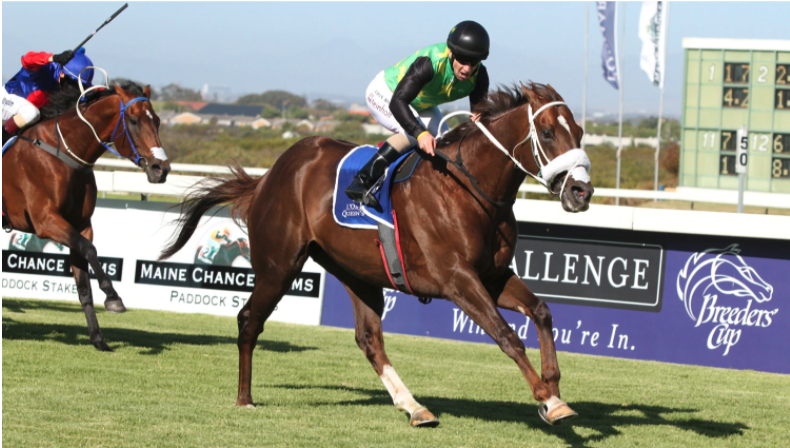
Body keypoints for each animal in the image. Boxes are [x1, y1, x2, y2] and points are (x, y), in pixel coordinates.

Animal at [1, 82, 170, 352]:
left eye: (157, 121)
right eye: (134, 120)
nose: (161, 169)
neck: (64, 152)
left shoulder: (80, 225)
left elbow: (84, 284)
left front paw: (98, 338)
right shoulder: (46, 220)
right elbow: (90, 250)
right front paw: (113, 298)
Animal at [161, 83, 592, 428]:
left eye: (580, 132)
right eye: (548, 132)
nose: (581, 191)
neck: (469, 189)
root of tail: (269, 176)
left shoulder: (493, 275)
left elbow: (541, 311)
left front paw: (554, 389)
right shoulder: (457, 279)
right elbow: (507, 336)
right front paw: (547, 398)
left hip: (356, 272)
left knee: (369, 339)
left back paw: (415, 407)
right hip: (278, 266)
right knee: (249, 319)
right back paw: (245, 398)